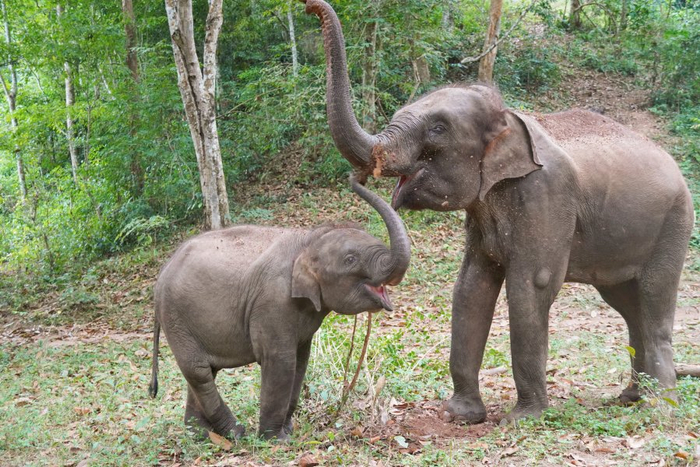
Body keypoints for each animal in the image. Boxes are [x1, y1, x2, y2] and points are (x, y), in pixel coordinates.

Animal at [148, 174, 410, 440]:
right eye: (350, 260)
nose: (354, 176)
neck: (306, 240)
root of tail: (161, 273)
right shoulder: (273, 303)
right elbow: (280, 362)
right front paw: (276, 439)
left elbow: (301, 361)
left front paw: (288, 430)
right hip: (176, 318)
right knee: (199, 372)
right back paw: (235, 433)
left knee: (205, 371)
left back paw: (201, 435)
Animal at [302, 0, 695, 423]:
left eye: (438, 128)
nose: (359, 175)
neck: (507, 116)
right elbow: (471, 286)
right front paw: (462, 415)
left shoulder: (546, 194)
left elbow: (531, 286)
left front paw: (523, 418)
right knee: (627, 304)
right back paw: (630, 397)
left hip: (675, 223)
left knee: (655, 299)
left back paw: (660, 407)